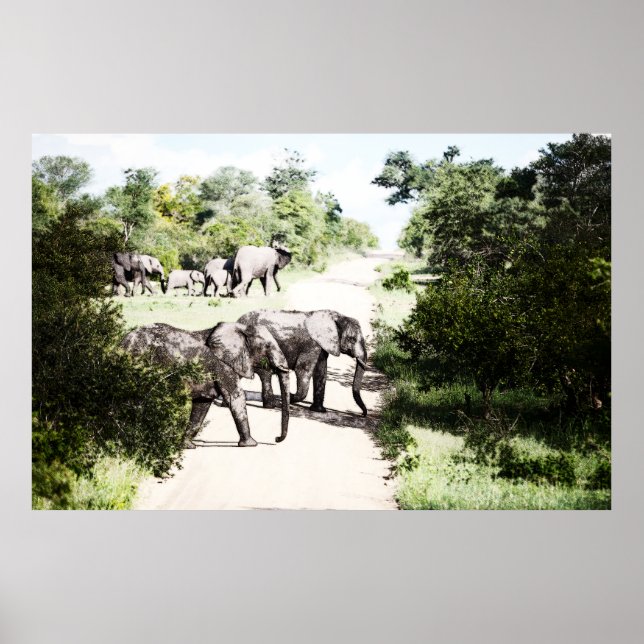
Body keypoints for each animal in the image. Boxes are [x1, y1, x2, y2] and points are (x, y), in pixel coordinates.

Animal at [120, 321, 290, 447]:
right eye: (268, 346)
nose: (276, 439)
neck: (241, 328)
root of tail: (122, 342)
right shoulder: (222, 365)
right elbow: (235, 397)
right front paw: (251, 444)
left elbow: (202, 404)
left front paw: (187, 446)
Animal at [237, 309, 368, 416]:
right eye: (352, 339)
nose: (362, 414)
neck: (335, 317)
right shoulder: (311, 345)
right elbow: (303, 370)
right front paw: (289, 397)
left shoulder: (320, 346)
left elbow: (321, 372)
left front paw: (319, 410)